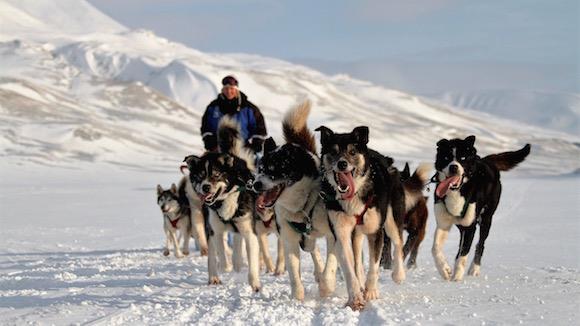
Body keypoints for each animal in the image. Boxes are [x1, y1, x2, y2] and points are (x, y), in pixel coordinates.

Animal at [251, 101, 338, 300]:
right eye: (260, 169)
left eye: (274, 169)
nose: (256, 184)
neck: (303, 205)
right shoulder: (289, 237)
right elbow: (293, 271)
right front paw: (297, 297)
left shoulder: (334, 234)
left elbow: (331, 265)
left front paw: (326, 287)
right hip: (304, 240)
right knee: (313, 250)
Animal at [430, 136, 532, 282]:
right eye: (446, 157)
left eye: (463, 158)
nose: (454, 167)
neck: (458, 191)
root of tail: (487, 160)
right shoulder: (443, 224)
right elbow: (435, 248)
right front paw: (445, 270)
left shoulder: (470, 227)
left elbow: (463, 254)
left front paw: (457, 278)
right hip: (464, 226)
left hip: (486, 219)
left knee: (480, 244)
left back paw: (474, 269)